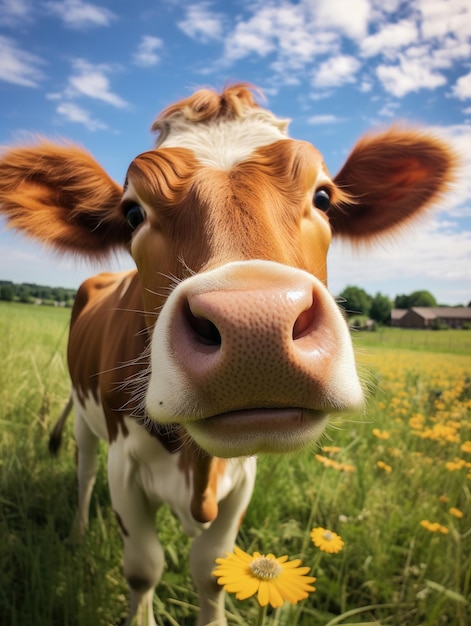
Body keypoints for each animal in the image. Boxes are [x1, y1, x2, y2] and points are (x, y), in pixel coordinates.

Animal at [0, 84, 458, 624]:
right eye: (133, 212)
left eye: (324, 196)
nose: (254, 327)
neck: (196, 468)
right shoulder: (124, 465)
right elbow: (143, 569)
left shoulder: (243, 479)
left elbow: (211, 568)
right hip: (84, 422)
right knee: (84, 472)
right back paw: (76, 533)